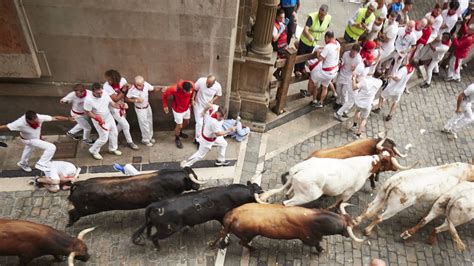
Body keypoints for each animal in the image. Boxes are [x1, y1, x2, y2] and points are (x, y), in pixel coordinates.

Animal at [67, 167, 205, 225]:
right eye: (193, 178)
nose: (198, 186)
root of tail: (78, 184)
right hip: (82, 209)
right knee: (72, 212)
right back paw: (69, 224)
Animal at [131, 181, 264, 249]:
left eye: (258, 186)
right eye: (256, 192)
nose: (263, 192)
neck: (229, 194)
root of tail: (154, 205)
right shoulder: (222, 216)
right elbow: (225, 230)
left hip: (154, 224)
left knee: (148, 231)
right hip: (167, 229)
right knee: (154, 237)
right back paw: (158, 248)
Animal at [213, 204, 364, 254]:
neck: (315, 219)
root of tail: (233, 215)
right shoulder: (309, 239)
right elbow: (316, 244)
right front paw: (321, 250)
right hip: (247, 235)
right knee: (242, 243)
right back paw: (253, 249)